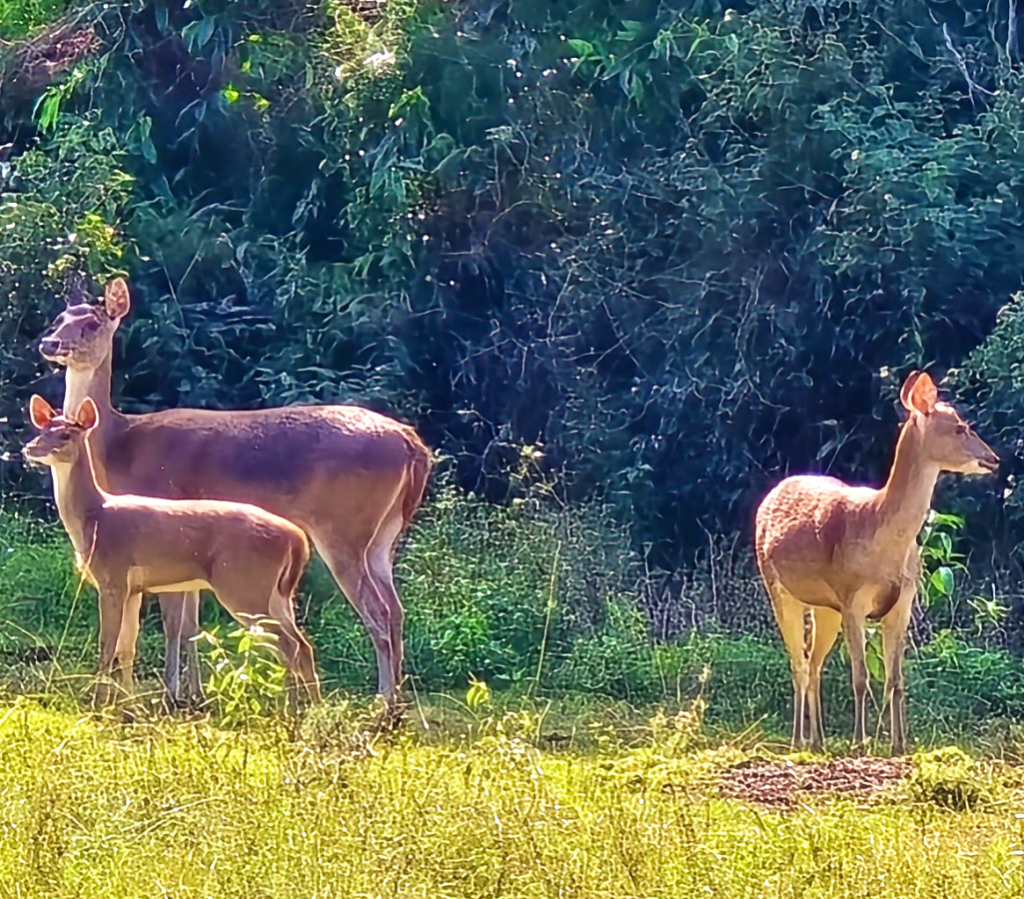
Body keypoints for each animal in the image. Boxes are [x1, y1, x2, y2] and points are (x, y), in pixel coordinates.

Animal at [22, 395, 321, 707]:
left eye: (66, 435)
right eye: (42, 429)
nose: (29, 448)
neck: (94, 519)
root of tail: (296, 538)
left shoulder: (112, 576)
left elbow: (107, 645)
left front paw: (98, 702)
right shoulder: (134, 588)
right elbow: (127, 648)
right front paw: (128, 706)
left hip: (243, 585)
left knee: (287, 643)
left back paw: (293, 706)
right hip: (275, 592)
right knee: (301, 644)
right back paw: (311, 706)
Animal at [754, 371, 999, 755]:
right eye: (961, 427)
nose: (994, 459)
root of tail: (769, 496)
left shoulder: (903, 600)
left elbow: (895, 678)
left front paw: (899, 744)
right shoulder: (853, 597)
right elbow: (860, 676)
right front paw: (860, 742)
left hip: (825, 607)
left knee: (814, 662)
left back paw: (818, 740)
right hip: (778, 587)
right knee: (799, 663)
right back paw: (798, 740)